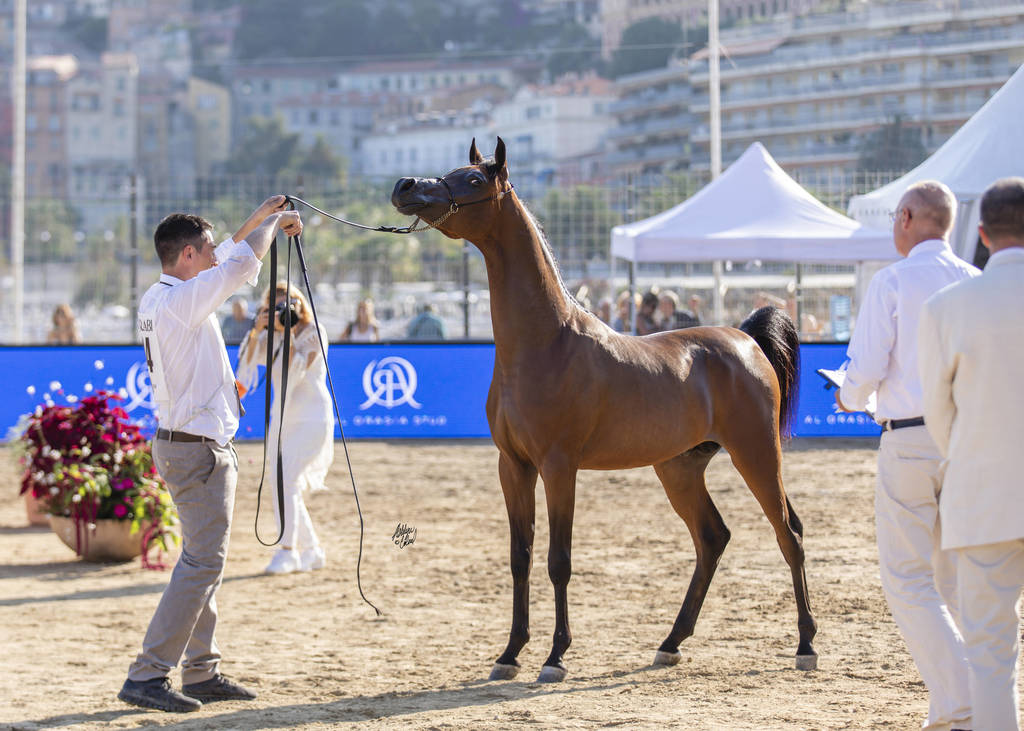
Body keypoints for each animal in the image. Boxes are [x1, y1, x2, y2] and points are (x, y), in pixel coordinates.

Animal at [390, 138, 817, 683]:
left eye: (473, 180)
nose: (405, 187)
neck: (545, 342)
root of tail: (746, 339)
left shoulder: (559, 466)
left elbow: (559, 560)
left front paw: (555, 657)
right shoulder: (514, 466)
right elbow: (520, 556)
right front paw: (509, 653)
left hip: (757, 454)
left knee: (788, 533)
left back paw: (806, 644)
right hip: (679, 468)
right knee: (712, 538)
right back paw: (670, 643)